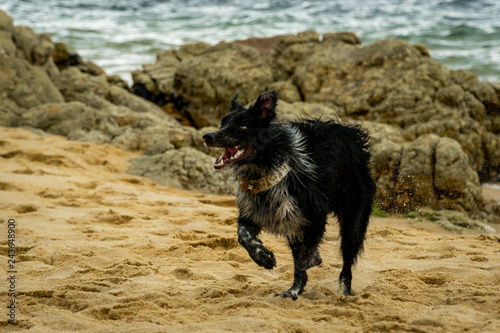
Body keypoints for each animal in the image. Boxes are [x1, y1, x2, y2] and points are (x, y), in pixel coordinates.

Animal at [203, 91, 376, 298]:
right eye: (223, 123)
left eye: (242, 127)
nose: (207, 136)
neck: (265, 166)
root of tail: (353, 136)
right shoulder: (259, 214)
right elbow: (243, 234)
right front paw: (262, 257)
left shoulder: (314, 214)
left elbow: (304, 257)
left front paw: (312, 259)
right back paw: (293, 291)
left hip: (352, 218)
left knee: (347, 263)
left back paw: (344, 292)